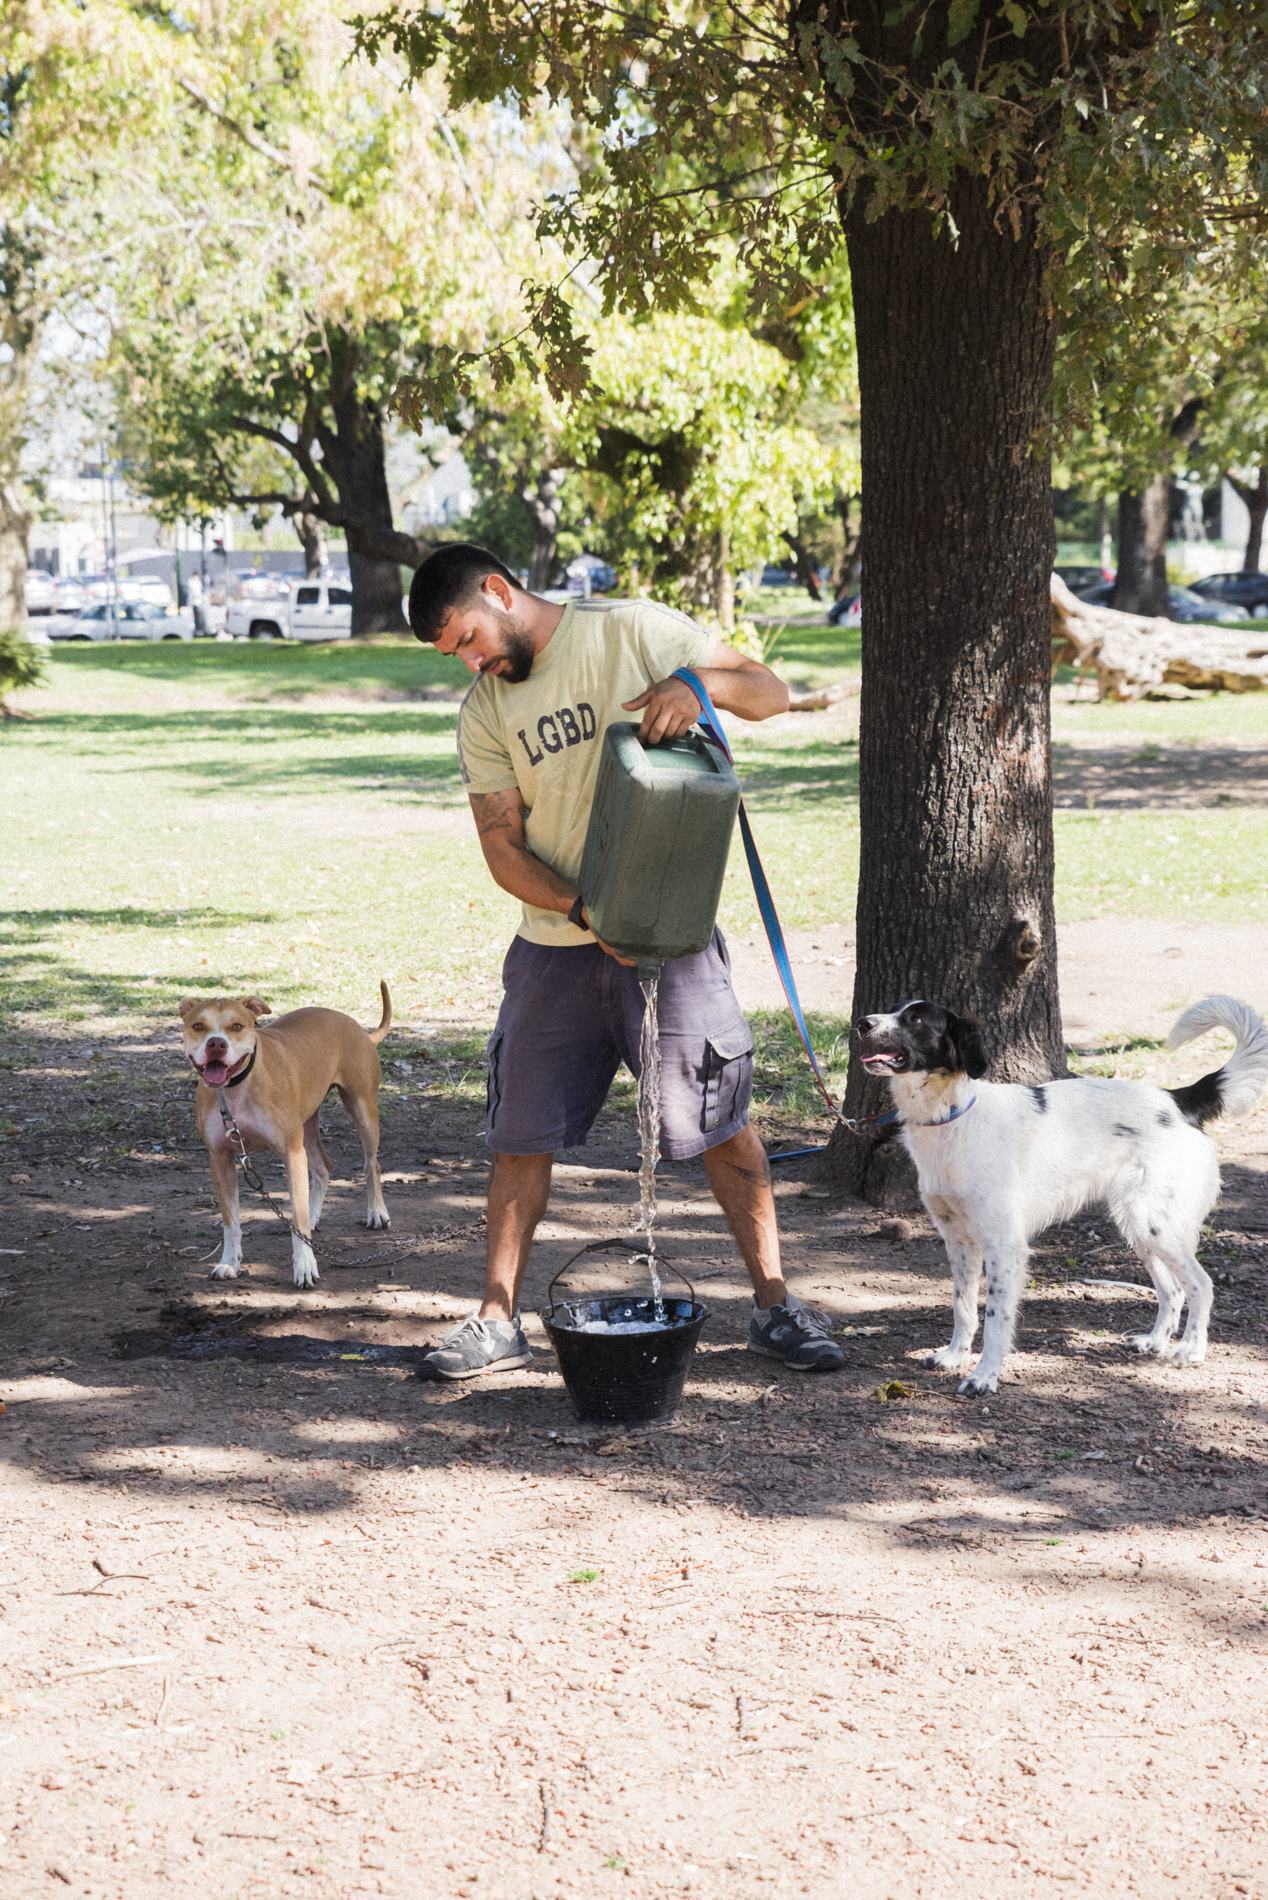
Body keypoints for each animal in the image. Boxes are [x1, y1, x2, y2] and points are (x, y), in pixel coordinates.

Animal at [179, 982, 392, 1288]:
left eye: (237, 1026)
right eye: (198, 1026)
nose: (216, 1043)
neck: (237, 1087)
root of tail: (357, 1027)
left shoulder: (291, 1153)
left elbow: (297, 1218)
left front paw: (304, 1266)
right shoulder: (220, 1159)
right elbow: (231, 1222)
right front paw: (229, 1262)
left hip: (362, 1108)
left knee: (371, 1163)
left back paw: (376, 1213)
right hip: (308, 1124)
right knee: (323, 1167)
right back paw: (314, 1216)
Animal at [851, 994, 1268, 1395]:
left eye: (916, 1019)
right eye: (893, 1008)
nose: (862, 1023)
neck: (953, 1118)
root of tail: (1178, 1100)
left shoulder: (1004, 1245)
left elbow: (996, 1317)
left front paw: (984, 1377)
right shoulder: (958, 1240)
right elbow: (963, 1306)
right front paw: (954, 1355)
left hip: (1153, 1224)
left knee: (1201, 1285)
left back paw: (1191, 1349)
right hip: (1139, 1226)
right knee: (1173, 1289)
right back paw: (1154, 1342)